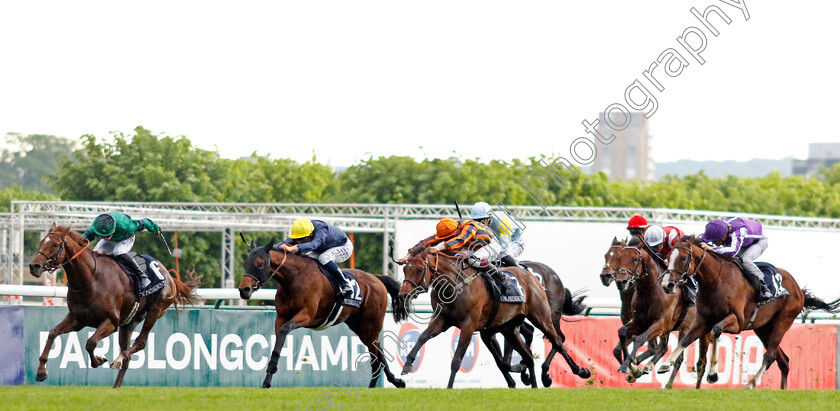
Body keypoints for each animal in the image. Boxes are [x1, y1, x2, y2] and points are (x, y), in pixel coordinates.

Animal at [26, 225, 200, 390]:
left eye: (55, 245)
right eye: (42, 242)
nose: (34, 266)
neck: (91, 279)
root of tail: (171, 278)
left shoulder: (111, 322)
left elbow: (90, 342)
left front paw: (99, 360)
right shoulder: (77, 319)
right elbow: (52, 333)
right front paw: (41, 372)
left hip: (155, 310)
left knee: (140, 342)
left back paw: (118, 359)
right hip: (129, 323)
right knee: (128, 353)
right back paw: (116, 385)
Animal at [238, 238, 408, 390]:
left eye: (260, 264)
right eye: (245, 264)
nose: (243, 290)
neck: (294, 278)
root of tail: (376, 278)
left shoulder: (307, 315)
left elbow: (285, 329)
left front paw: (270, 373)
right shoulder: (280, 317)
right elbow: (279, 338)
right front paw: (267, 381)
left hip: (371, 324)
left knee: (376, 354)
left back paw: (378, 385)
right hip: (359, 326)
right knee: (377, 351)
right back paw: (390, 383)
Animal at [396, 248, 588, 390]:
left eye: (420, 269)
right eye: (405, 269)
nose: (403, 294)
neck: (454, 284)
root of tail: (533, 277)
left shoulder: (469, 325)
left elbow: (457, 359)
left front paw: (449, 387)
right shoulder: (442, 320)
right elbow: (422, 337)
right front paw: (407, 364)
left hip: (543, 317)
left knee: (557, 340)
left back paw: (575, 372)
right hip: (510, 328)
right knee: (528, 354)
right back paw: (532, 383)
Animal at [604, 238, 716, 390]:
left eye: (634, 259)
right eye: (619, 258)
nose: (621, 281)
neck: (650, 289)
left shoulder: (661, 323)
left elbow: (640, 339)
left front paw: (632, 367)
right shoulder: (640, 322)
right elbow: (621, 333)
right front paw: (630, 367)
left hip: (699, 330)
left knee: (700, 363)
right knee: (664, 349)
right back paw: (649, 368)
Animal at [664, 235, 840, 390]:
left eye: (684, 258)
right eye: (667, 258)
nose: (668, 285)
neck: (715, 281)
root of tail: (798, 289)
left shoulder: (736, 322)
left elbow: (716, 331)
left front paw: (713, 374)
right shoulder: (702, 321)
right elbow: (685, 340)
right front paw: (665, 364)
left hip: (783, 322)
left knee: (770, 356)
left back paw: (750, 384)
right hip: (763, 328)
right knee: (783, 360)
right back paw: (781, 389)